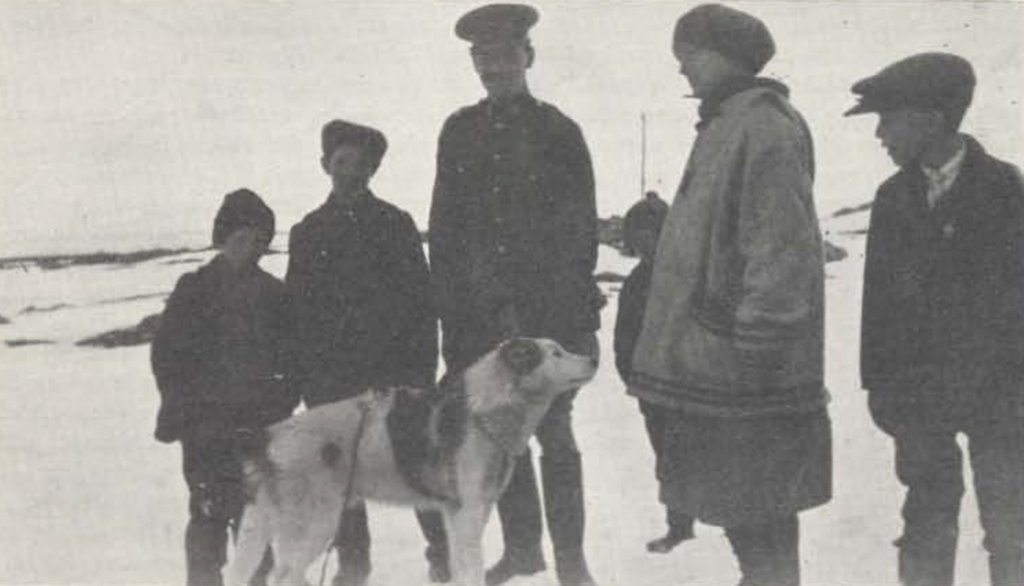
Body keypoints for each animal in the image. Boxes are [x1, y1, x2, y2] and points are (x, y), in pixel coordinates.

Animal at [223, 336, 593, 581]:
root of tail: (269, 436)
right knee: (283, 575)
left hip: (262, 523)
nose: (594, 359)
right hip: (315, 523)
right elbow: (471, 569)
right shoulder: (467, 514)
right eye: (556, 353)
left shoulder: (463, 514)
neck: (483, 413)